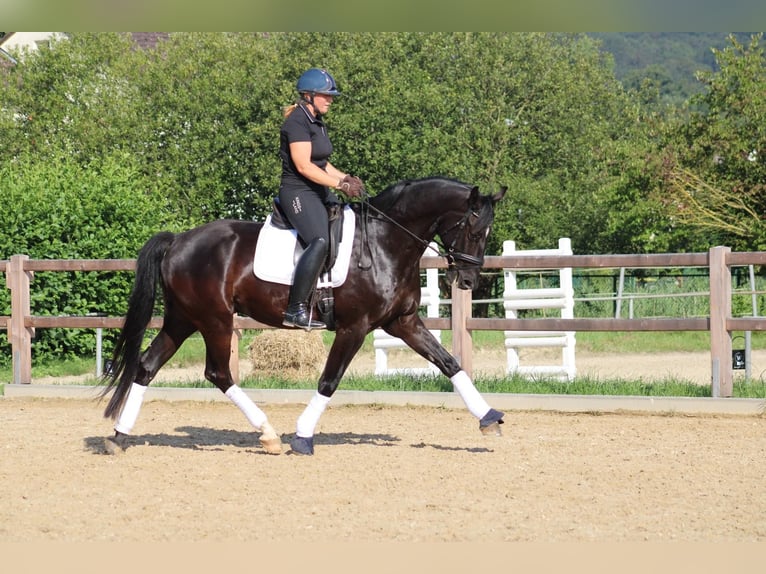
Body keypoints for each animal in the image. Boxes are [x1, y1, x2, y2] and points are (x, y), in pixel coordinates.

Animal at [102, 178, 510, 456]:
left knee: (146, 366)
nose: (468, 280)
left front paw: (489, 417)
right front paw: (302, 436)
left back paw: (120, 436)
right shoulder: (354, 328)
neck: (386, 242)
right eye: (473, 229)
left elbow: (450, 363)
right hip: (215, 320)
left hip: (183, 320)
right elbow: (329, 381)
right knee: (218, 373)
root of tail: (178, 241)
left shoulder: (403, 322)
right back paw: (268, 433)